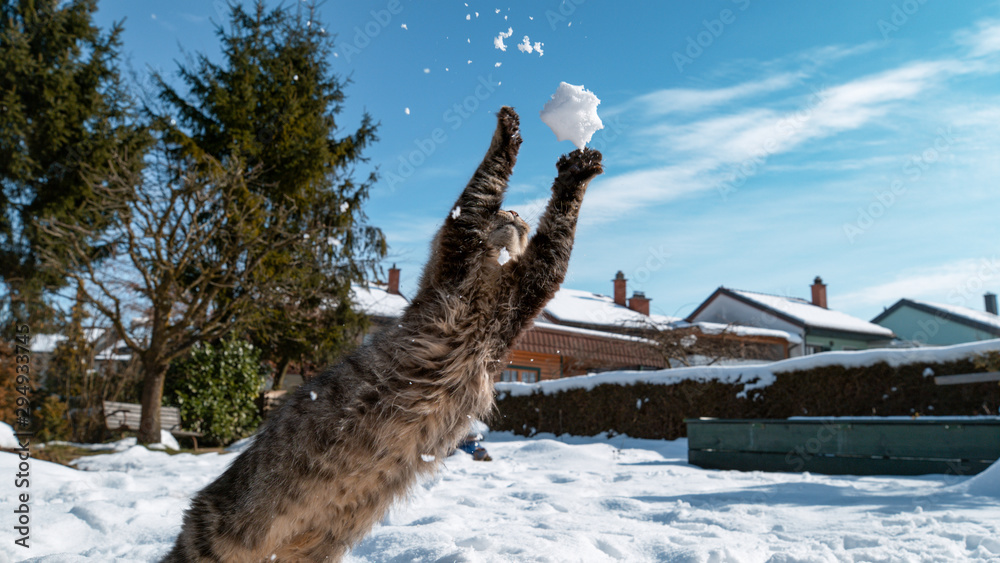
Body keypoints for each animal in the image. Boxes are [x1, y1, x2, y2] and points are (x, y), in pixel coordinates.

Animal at [163, 107, 600, 563]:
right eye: (507, 212)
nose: (514, 214)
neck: (487, 288)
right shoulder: (462, 250)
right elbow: (488, 184)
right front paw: (511, 135)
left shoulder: (523, 293)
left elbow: (555, 232)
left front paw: (577, 174)